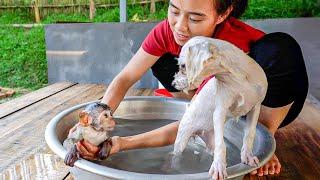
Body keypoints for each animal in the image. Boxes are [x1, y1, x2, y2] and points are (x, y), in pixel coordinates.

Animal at [172, 35, 268, 179]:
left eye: (183, 66)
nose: (173, 83)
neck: (237, 79)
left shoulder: (256, 107)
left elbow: (249, 133)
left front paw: (248, 156)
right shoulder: (219, 111)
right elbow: (221, 144)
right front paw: (219, 167)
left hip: (209, 143)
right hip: (181, 140)